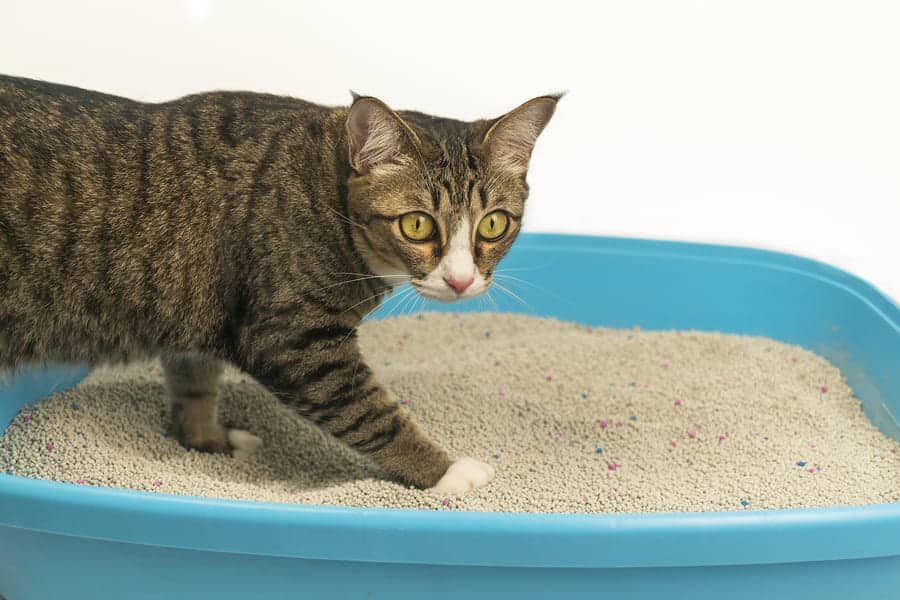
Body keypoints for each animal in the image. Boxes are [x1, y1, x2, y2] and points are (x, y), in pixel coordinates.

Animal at [0, 75, 560, 494]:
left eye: (494, 224)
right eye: (418, 225)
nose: (462, 280)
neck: (324, 189)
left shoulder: (198, 314)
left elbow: (195, 382)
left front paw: (207, 443)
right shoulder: (296, 340)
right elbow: (373, 413)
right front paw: (445, 473)